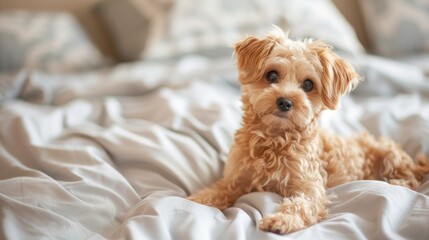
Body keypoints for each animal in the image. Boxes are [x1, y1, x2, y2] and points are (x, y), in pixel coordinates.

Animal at [186, 28, 428, 234]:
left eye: (309, 85)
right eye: (271, 75)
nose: (284, 102)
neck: (275, 142)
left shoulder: (310, 187)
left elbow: (300, 206)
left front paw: (281, 220)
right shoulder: (235, 179)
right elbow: (217, 191)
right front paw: (196, 199)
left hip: (390, 157)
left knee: (410, 180)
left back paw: (395, 183)